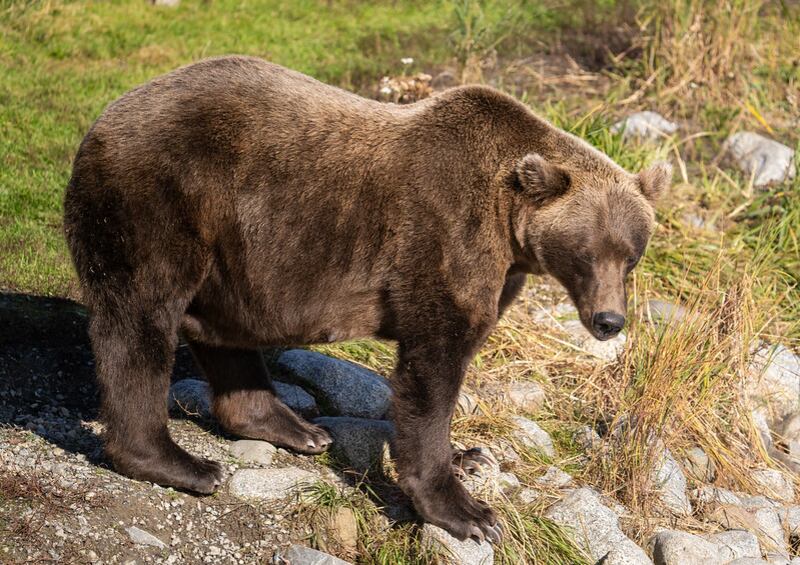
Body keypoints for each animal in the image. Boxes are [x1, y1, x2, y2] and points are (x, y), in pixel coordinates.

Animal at [63, 56, 670, 543]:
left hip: (231, 258)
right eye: (587, 254)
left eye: (631, 255)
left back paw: (297, 428)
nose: (609, 320)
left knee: (219, 328)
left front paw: (470, 456)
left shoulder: (501, 269)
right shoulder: (444, 237)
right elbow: (432, 370)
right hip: (159, 201)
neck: (511, 226)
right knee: (139, 321)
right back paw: (181, 463)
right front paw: (469, 512)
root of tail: (102, 120)